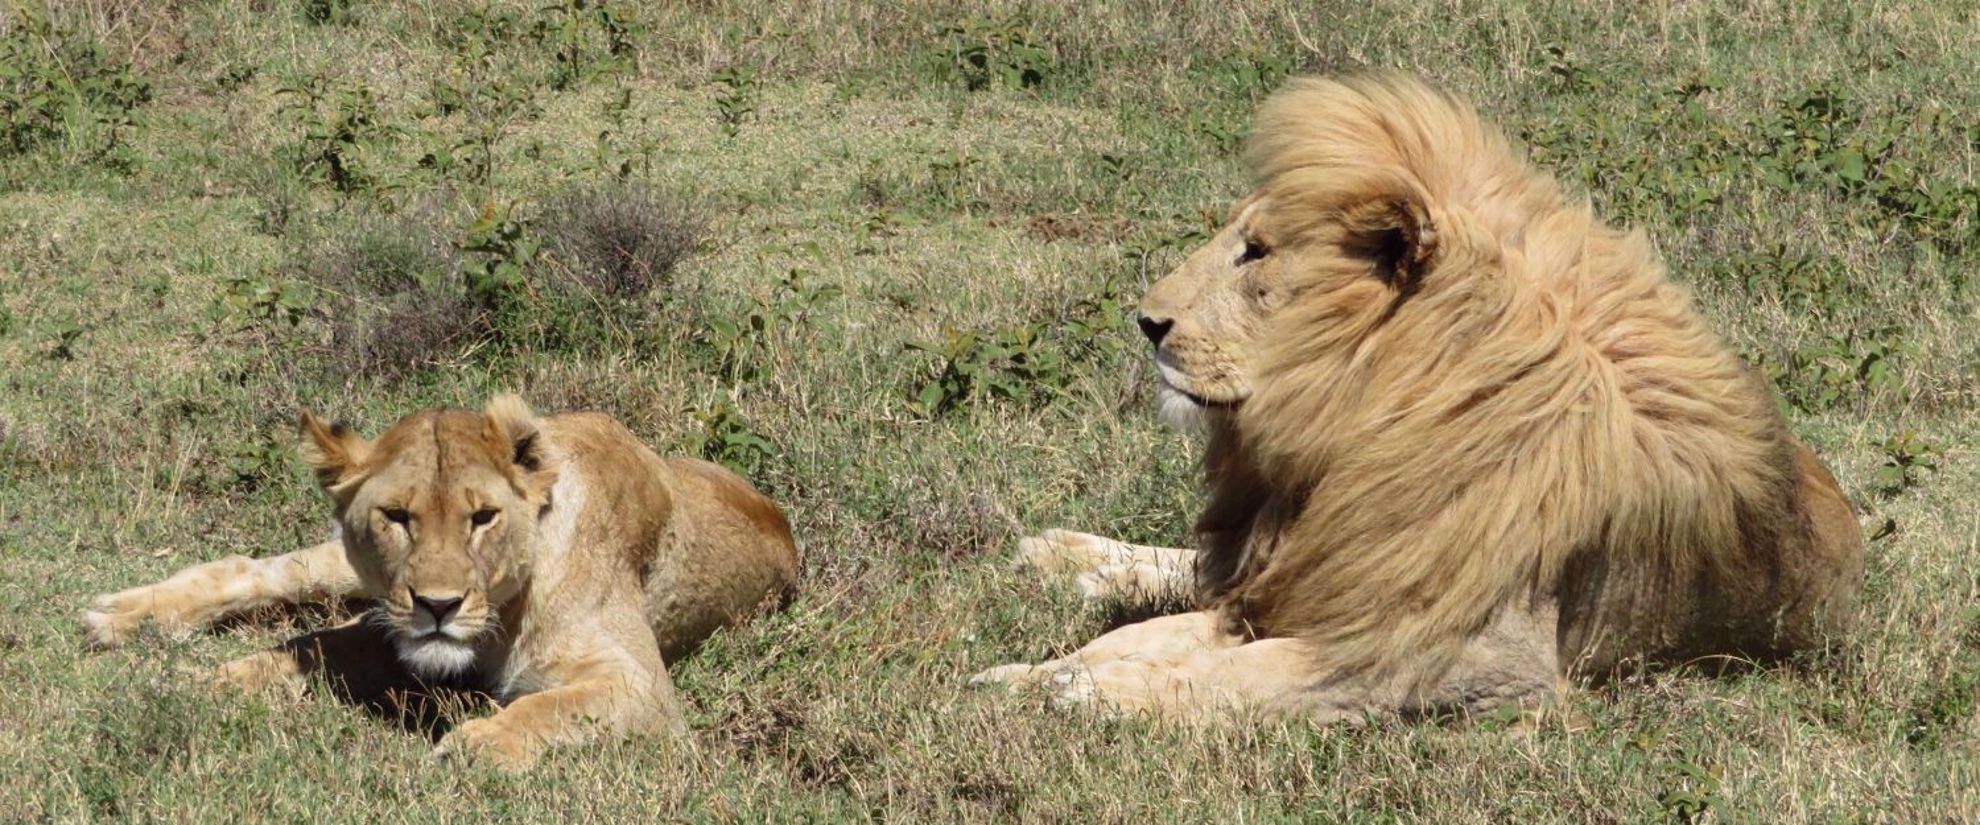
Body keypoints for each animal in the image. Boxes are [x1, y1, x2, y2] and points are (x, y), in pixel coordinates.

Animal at [85, 391, 795, 763]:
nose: (438, 605)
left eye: (482, 517)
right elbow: (306, 646)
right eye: (398, 516)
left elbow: (552, 705)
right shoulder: (390, 627)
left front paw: (474, 745)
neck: (500, 616)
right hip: (345, 568)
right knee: (260, 570)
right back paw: (119, 616)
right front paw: (209, 682)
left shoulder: (641, 684)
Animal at [978, 77, 1869, 720]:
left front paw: (1070, 691)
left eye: (1255, 252)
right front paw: (1031, 672)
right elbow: (1152, 637)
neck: (1358, 424)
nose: (1146, 320)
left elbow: (1232, 673)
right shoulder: (1324, 575)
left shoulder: (1459, 656)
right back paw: (1063, 554)